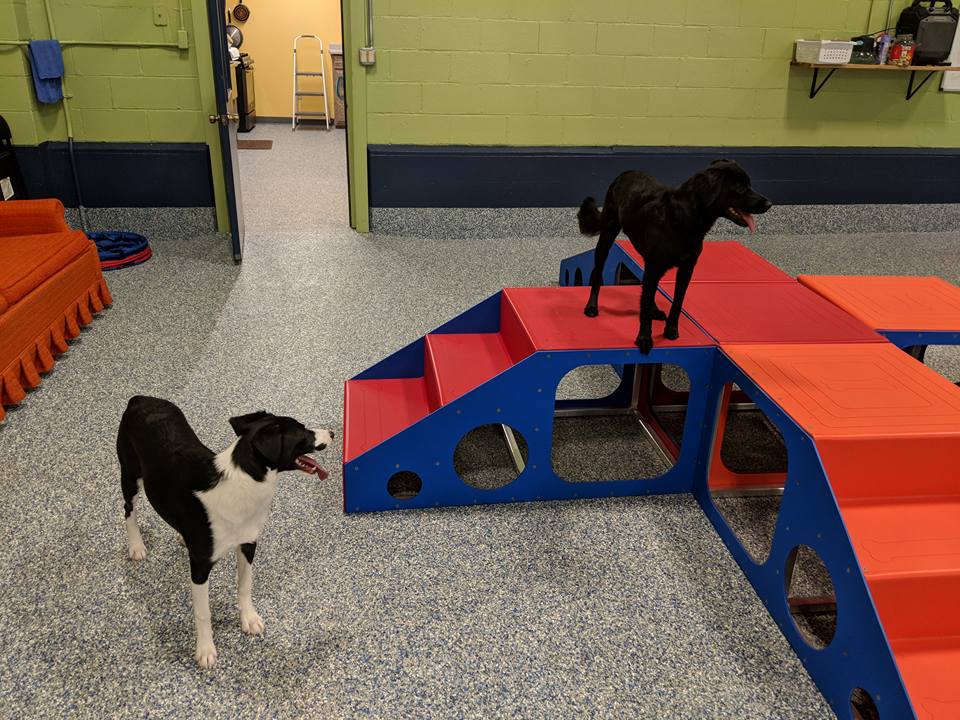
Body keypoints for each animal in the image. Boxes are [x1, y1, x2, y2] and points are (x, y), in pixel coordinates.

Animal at [117, 396, 334, 668]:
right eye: (303, 432)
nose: (333, 433)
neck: (243, 483)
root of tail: (140, 399)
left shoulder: (248, 544)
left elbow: (245, 586)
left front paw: (249, 618)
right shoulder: (200, 566)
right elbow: (203, 612)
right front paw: (205, 650)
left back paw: (181, 535)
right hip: (130, 473)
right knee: (128, 510)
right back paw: (136, 545)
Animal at [576, 159, 772, 352]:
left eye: (749, 184)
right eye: (739, 187)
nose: (769, 203)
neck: (685, 219)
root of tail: (625, 172)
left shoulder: (686, 268)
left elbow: (677, 301)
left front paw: (671, 329)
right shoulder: (654, 266)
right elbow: (645, 302)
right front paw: (644, 338)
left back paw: (655, 310)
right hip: (607, 236)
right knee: (598, 273)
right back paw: (592, 307)